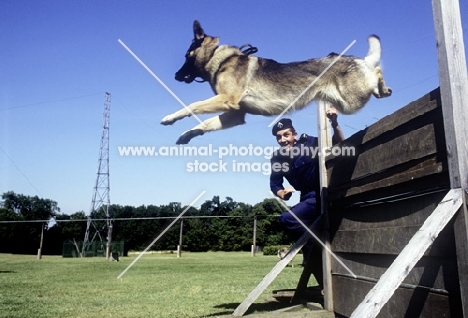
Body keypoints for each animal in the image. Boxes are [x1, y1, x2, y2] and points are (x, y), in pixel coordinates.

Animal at [162, 20, 392, 144]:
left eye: (187, 56)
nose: (175, 76)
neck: (218, 59)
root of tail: (360, 61)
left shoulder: (226, 99)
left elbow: (193, 106)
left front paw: (170, 118)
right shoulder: (235, 114)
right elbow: (205, 123)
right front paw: (187, 135)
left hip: (351, 100)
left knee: (377, 70)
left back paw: (383, 87)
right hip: (349, 101)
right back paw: (383, 90)